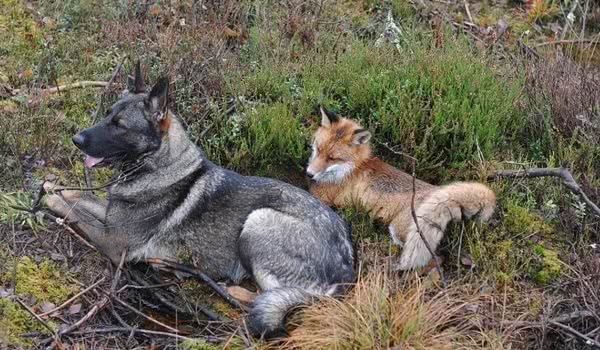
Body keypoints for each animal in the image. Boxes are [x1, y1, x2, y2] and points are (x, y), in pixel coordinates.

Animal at [48, 63, 356, 340]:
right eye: (107, 114)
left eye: (119, 125)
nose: (76, 139)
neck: (157, 164)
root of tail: (347, 270)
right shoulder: (111, 218)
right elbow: (81, 196)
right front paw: (53, 186)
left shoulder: (114, 242)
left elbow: (72, 209)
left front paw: (50, 199)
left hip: (259, 220)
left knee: (276, 295)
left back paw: (229, 288)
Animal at [304, 108, 496, 270]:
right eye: (318, 149)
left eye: (332, 158)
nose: (309, 173)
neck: (354, 167)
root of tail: (436, 191)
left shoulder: (322, 195)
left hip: (400, 231)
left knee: (432, 258)